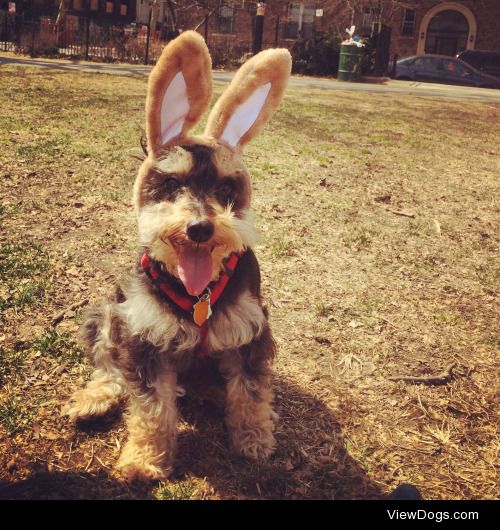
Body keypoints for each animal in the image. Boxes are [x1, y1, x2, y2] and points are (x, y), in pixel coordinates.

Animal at [64, 32, 292, 478]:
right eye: (171, 185)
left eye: (225, 190)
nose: (200, 228)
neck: (197, 293)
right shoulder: (143, 337)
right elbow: (151, 408)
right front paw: (144, 459)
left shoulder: (250, 333)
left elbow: (251, 393)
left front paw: (254, 438)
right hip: (107, 313)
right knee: (109, 366)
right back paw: (93, 399)